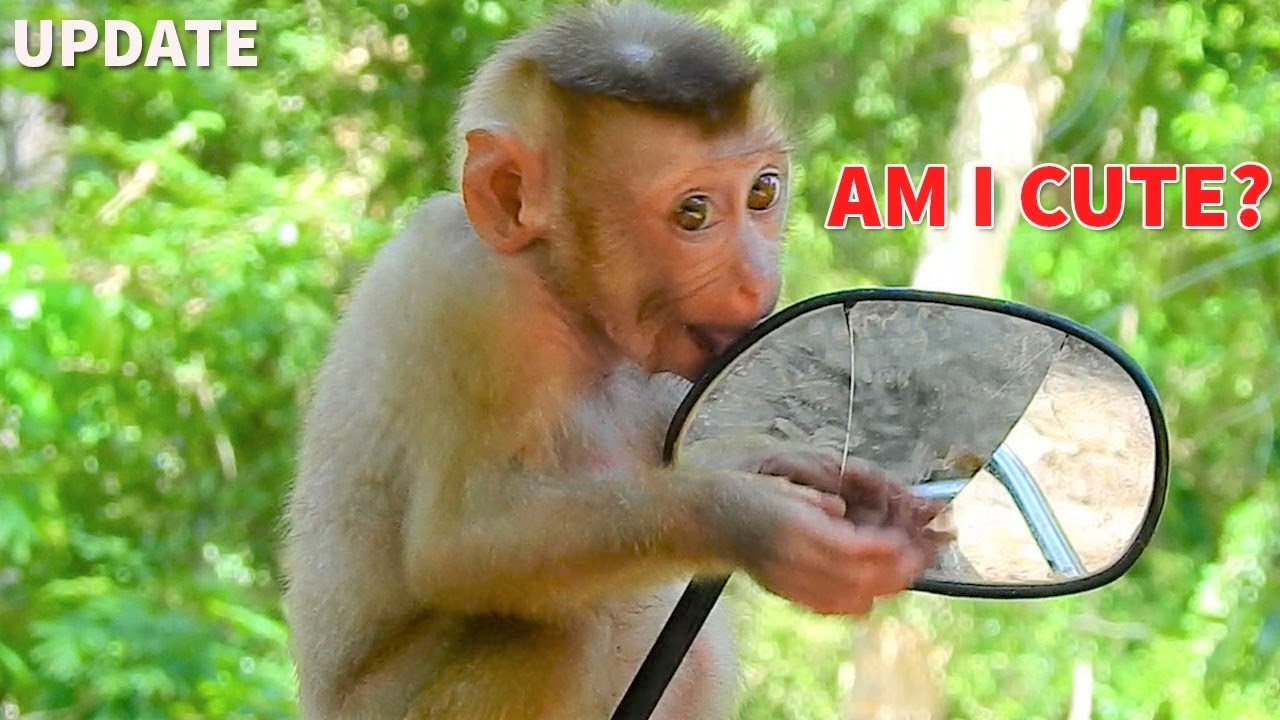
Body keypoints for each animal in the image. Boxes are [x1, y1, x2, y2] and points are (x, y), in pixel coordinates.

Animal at [281, 3, 945, 719]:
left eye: (763, 193)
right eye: (694, 212)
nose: (755, 278)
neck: (567, 301)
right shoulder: (475, 300)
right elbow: (458, 542)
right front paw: (751, 520)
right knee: (557, 636)